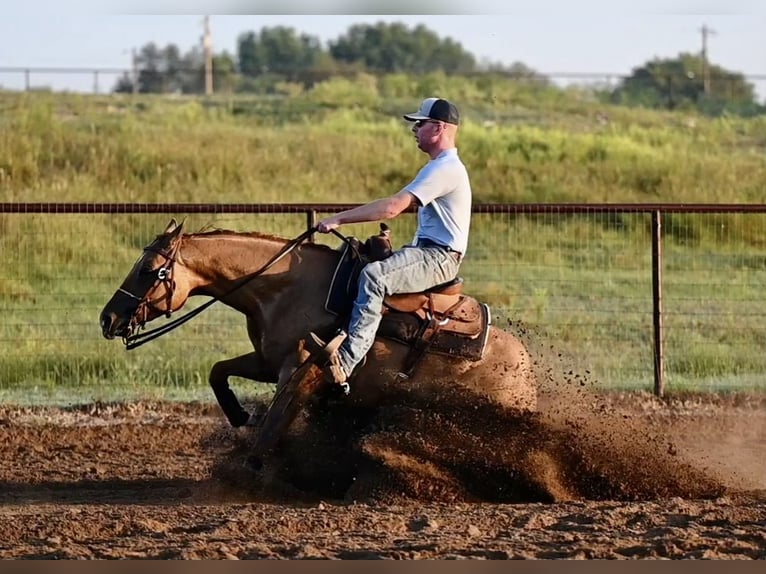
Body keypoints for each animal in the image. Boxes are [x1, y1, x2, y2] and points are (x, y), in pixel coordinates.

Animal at [99, 220, 536, 468]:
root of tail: (526, 372)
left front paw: (252, 469)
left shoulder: (299, 371)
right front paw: (240, 416)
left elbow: (275, 421)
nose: (108, 319)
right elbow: (218, 373)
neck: (284, 288)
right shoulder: (267, 361)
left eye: (149, 269)